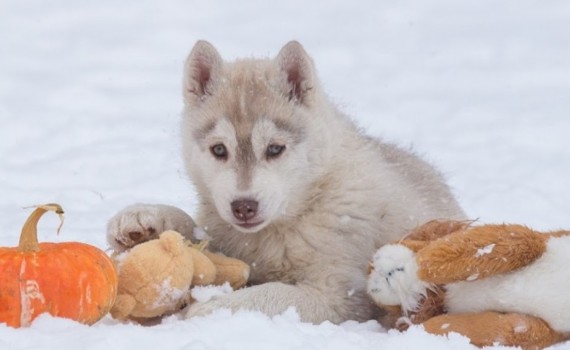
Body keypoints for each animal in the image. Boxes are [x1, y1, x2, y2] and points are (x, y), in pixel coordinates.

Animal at [105, 41, 462, 326]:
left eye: (275, 149)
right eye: (219, 150)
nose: (243, 207)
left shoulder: (339, 294)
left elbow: (271, 295)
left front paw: (212, 308)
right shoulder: (226, 237)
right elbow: (195, 229)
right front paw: (145, 219)